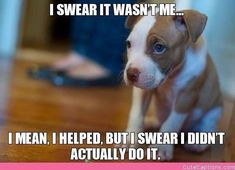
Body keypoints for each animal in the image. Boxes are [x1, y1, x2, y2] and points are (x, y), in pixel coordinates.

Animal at [123, 9, 222, 161]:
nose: (131, 74)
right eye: (129, 44)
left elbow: (171, 123)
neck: (171, 76)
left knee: (207, 126)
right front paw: (131, 138)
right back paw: (150, 122)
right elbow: (136, 113)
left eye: (159, 48)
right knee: (160, 120)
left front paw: (161, 147)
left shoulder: (186, 98)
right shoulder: (142, 91)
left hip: (214, 110)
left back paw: (198, 143)